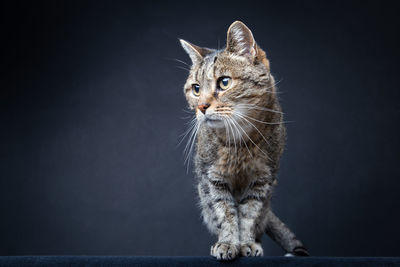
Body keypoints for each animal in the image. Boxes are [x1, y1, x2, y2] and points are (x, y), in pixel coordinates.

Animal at [180, 21, 308, 262]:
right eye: (196, 88)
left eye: (224, 82)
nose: (201, 107)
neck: (239, 142)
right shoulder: (213, 179)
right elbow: (226, 214)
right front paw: (228, 243)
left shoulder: (262, 180)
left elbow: (249, 215)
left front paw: (247, 243)